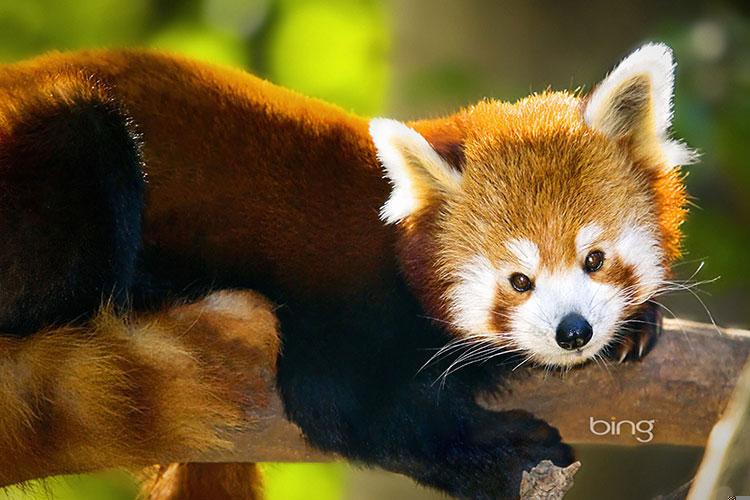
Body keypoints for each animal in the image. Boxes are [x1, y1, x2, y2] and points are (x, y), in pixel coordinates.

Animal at [0, 44, 692, 500]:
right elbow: (352, 407)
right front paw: (507, 454)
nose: (573, 332)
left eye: (594, 259)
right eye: (518, 280)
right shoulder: (344, 310)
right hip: (67, 154)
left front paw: (636, 324)